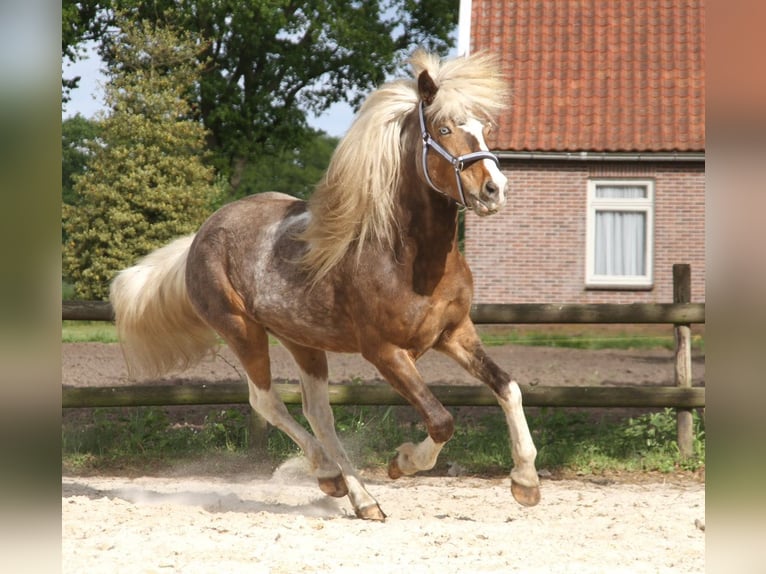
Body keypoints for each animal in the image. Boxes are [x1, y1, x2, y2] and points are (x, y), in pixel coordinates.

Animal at [110, 49, 541, 521]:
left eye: (484, 128)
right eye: (444, 128)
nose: (495, 189)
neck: (412, 260)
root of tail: (201, 236)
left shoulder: (455, 333)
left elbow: (508, 388)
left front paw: (526, 482)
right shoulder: (385, 351)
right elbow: (441, 420)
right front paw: (402, 462)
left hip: (302, 340)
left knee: (317, 412)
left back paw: (360, 498)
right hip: (242, 330)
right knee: (267, 402)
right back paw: (329, 475)